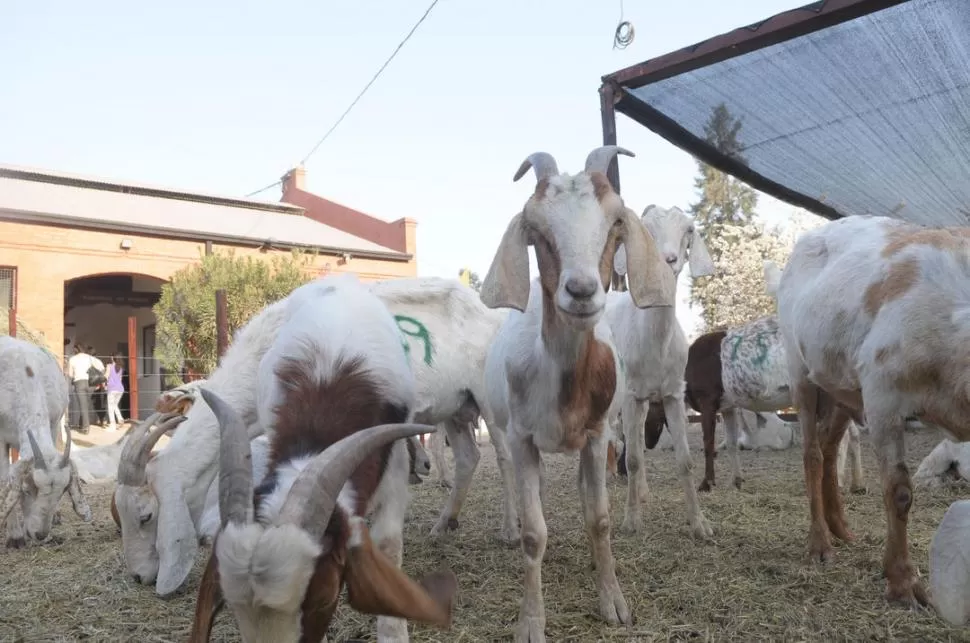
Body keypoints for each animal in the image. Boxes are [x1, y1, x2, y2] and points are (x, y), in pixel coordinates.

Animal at [0, 338, 90, 548]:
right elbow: (4, 477)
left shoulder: (54, 422)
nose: (40, 534)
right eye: (26, 489)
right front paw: (15, 537)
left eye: (64, 491)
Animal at [480, 147, 676, 643]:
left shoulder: (596, 434)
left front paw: (614, 602)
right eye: (536, 228)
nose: (582, 290)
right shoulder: (523, 439)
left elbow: (599, 518)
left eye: (615, 221)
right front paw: (531, 621)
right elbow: (535, 532)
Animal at [608, 205, 716, 540]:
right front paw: (631, 522)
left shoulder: (672, 394)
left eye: (689, 230)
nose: (668, 259)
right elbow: (631, 457)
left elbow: (685, 461)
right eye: (647, 229)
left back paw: (642, 493)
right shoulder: (630, 394)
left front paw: (700, 525)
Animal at [776, 214, 970, 608]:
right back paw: (820, 545)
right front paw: (903, 583)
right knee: (812, 453)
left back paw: (841, 528)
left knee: (830, 447)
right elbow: (899, 492)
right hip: (800, 369)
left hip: (842, 388)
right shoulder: (884, 395)